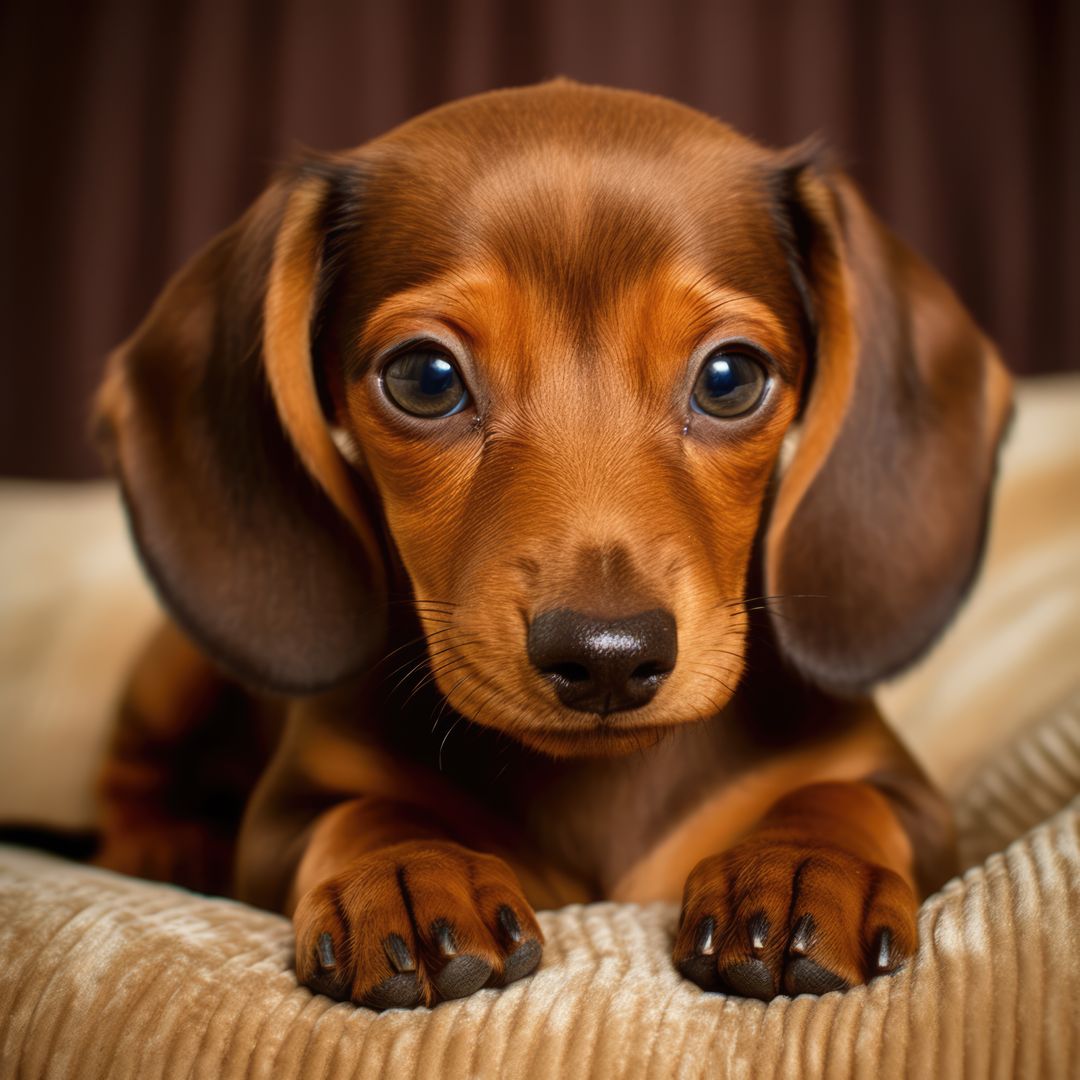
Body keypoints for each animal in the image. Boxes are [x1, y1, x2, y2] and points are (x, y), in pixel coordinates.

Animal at [92, 79, 1010, 1006]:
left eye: (731, 378)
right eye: (424, 378)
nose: (608, 656)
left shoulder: (904, 788)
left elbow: (846, 798)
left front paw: (800, 865)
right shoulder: (293, 805)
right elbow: (363, 813)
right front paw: (409, 872)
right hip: (172, 668)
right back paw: (162, 845)